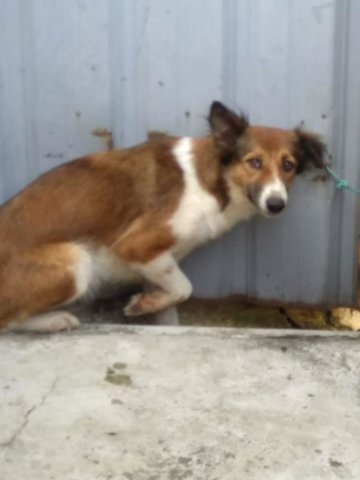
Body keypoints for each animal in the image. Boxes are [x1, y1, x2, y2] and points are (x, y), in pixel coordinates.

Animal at [0, 101, 326, 332]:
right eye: (254, 162)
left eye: (288, 165)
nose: (276, 204)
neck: (213, 180)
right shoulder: (137, 245)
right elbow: (184, 288)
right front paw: (145, 305)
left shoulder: (160, 259)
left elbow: (176, 288)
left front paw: (149, 303)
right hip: (76, 261)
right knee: (7, 320)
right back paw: (54, 320)